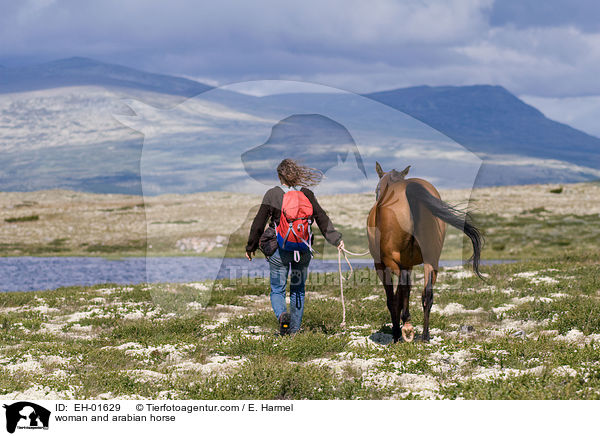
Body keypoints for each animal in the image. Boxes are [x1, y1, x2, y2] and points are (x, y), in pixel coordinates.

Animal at [366, 162, 482, 342]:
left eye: (376, 189)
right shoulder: (408, 264)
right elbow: (403, 293)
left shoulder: (381, 264)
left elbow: (393, 298)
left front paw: (396, 332)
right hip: (431, 260)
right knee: (427, 293)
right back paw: (425, 335)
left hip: (392, 260)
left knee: (404, 285)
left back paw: (406, 326)